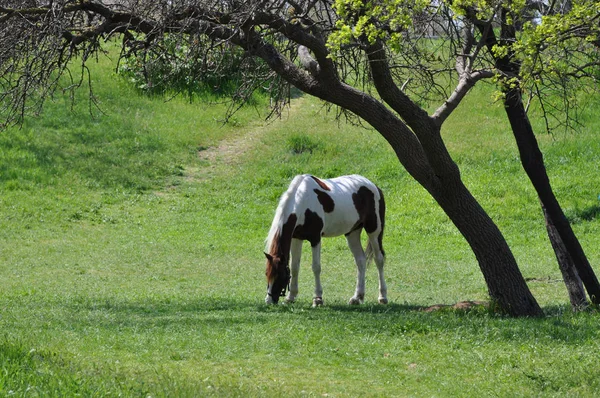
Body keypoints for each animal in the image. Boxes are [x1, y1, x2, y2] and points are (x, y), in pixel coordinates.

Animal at [264, 173, 390, 306]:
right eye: (267, 273)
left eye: (280, 275)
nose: (269, 300)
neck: (303, 202)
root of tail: (374, 186)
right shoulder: (296, 238)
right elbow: (294, 267)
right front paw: (291, 297)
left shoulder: (315, 239)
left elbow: (316, 267)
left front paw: (318, 298)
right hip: (352, 233)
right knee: (360, 260)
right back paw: (357, 297)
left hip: (374, 230)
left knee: (379, 259)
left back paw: (382, 296)